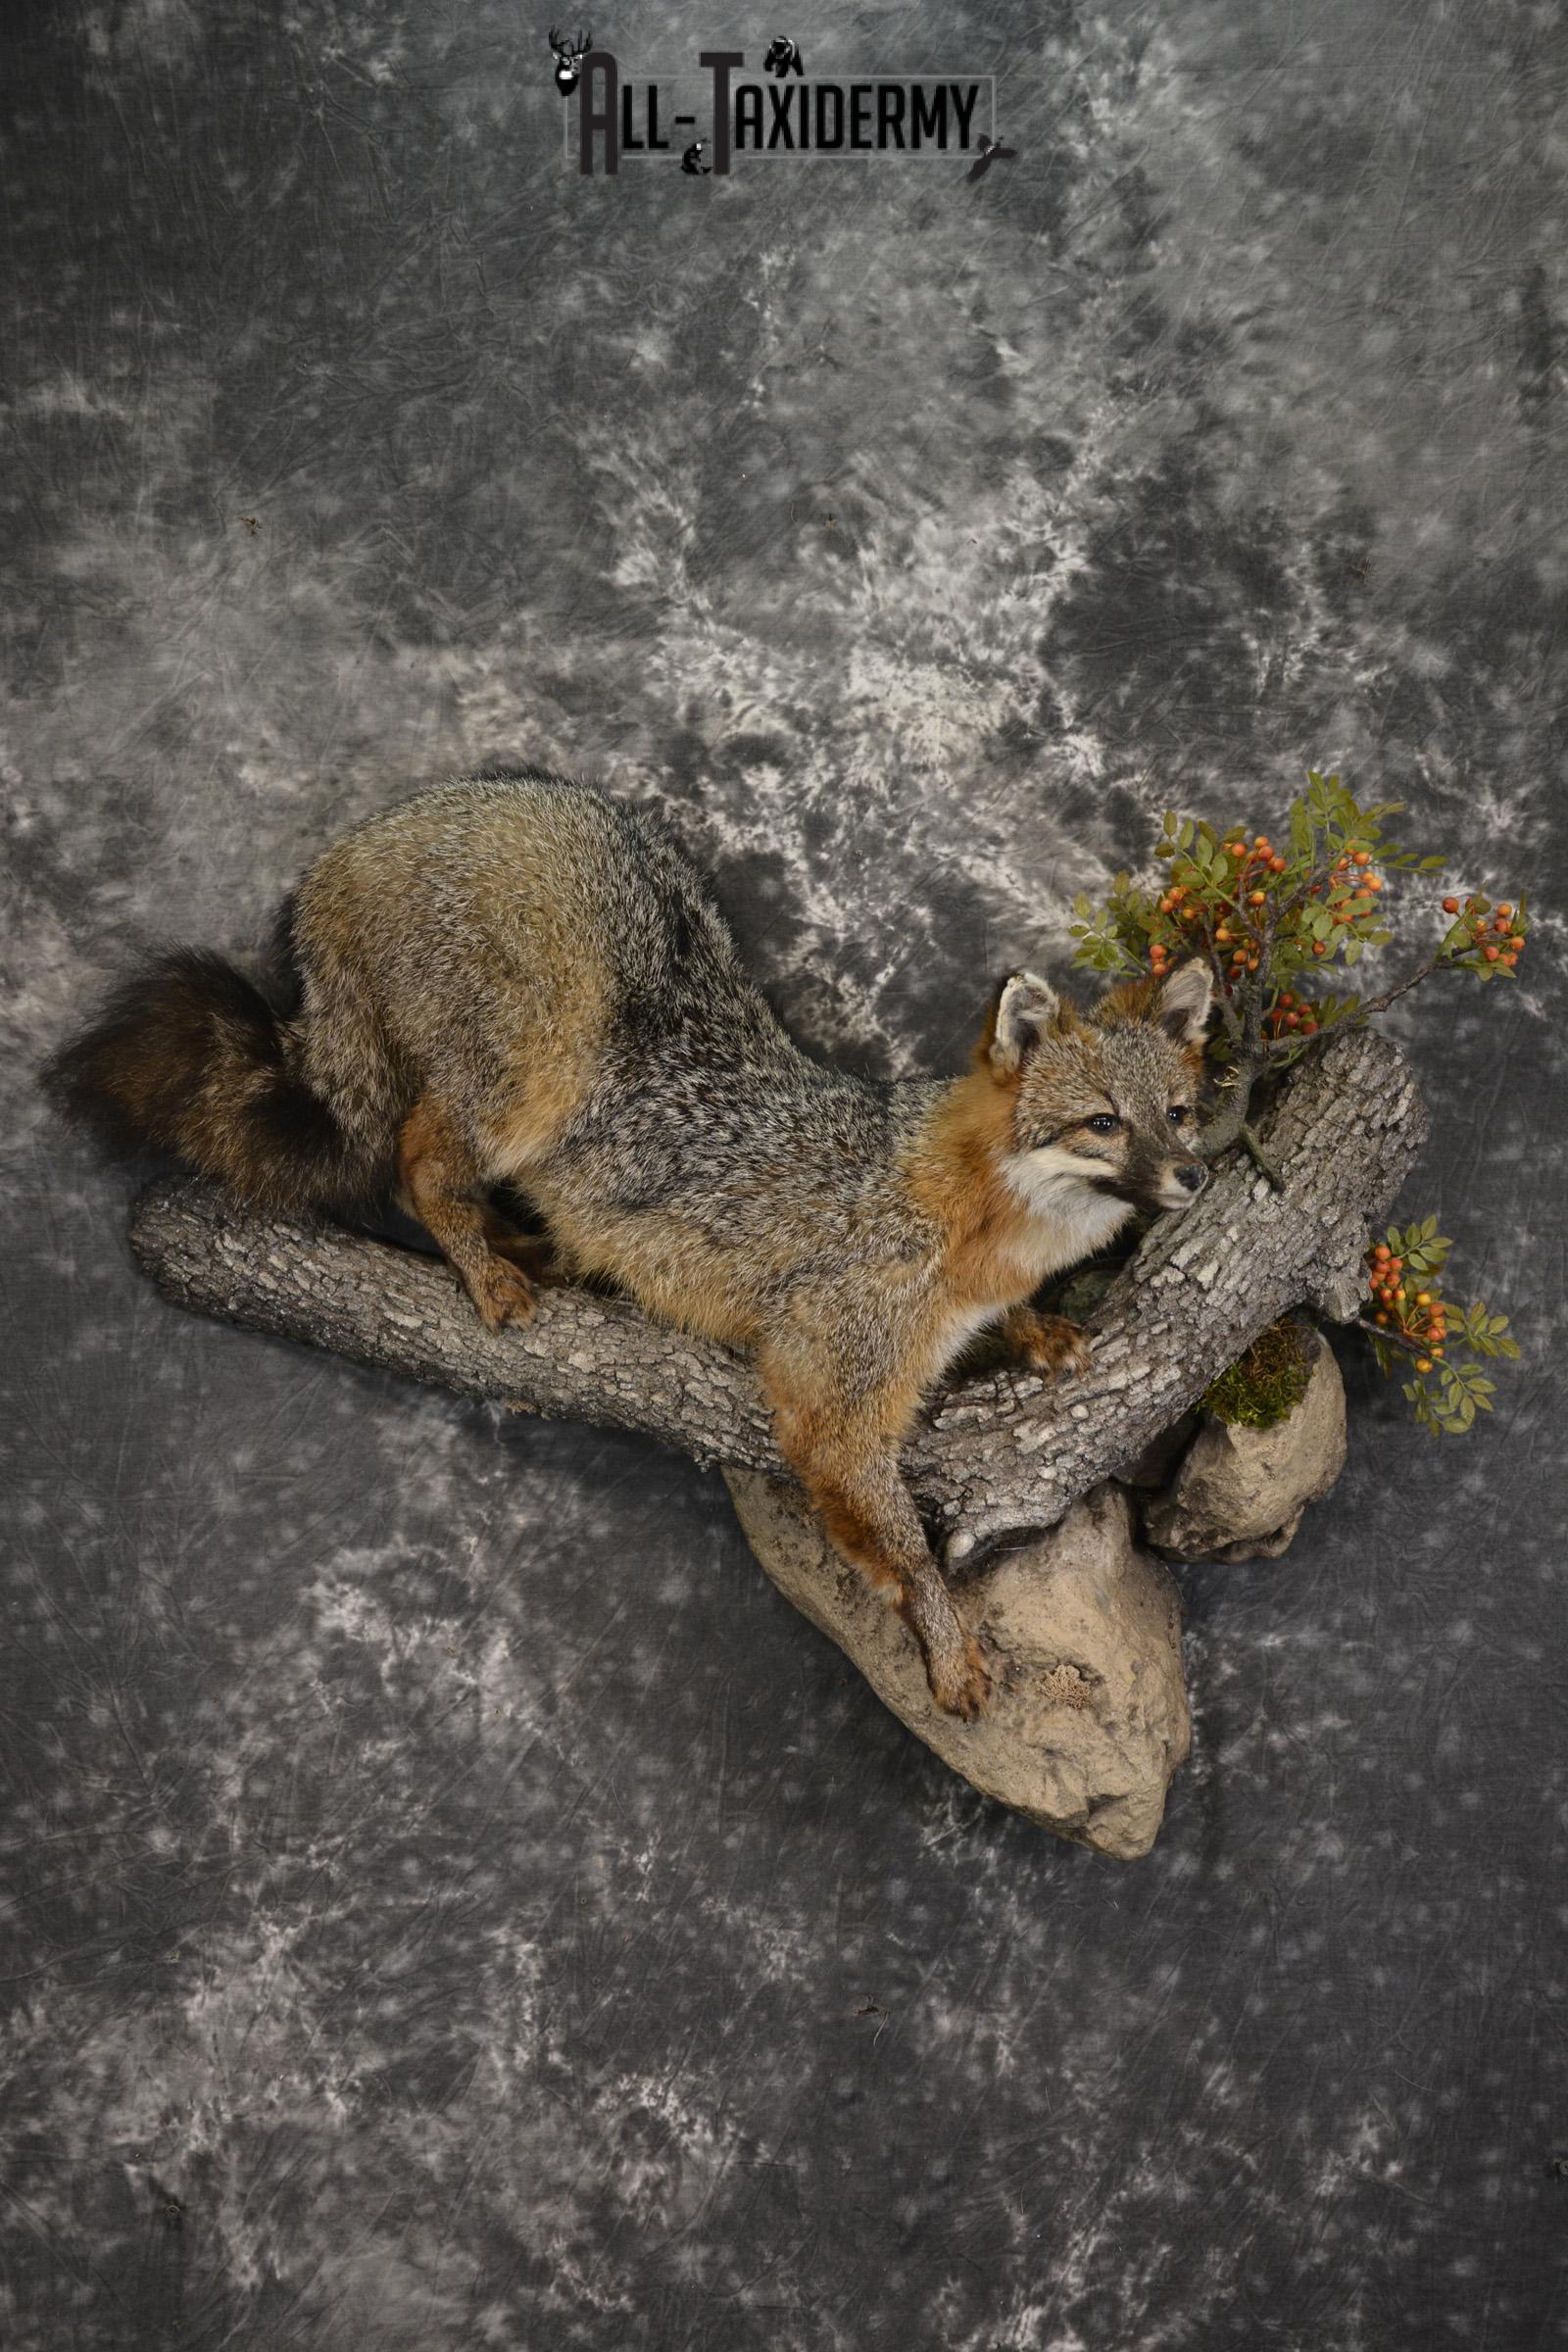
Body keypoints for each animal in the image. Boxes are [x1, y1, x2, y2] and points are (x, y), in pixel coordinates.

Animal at [45, 772, 1214, 1719]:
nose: (1196, 1177)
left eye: (1181, 1114)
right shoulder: (830, 1399)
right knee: (415, 1161)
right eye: (1103, 1123)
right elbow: (906, 1552)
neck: (973, 1225)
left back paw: (539, 1248)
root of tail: (366, 837)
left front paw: (1035, 1329)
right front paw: (948, 1647)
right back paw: (486, 1266)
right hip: (534, 1074)